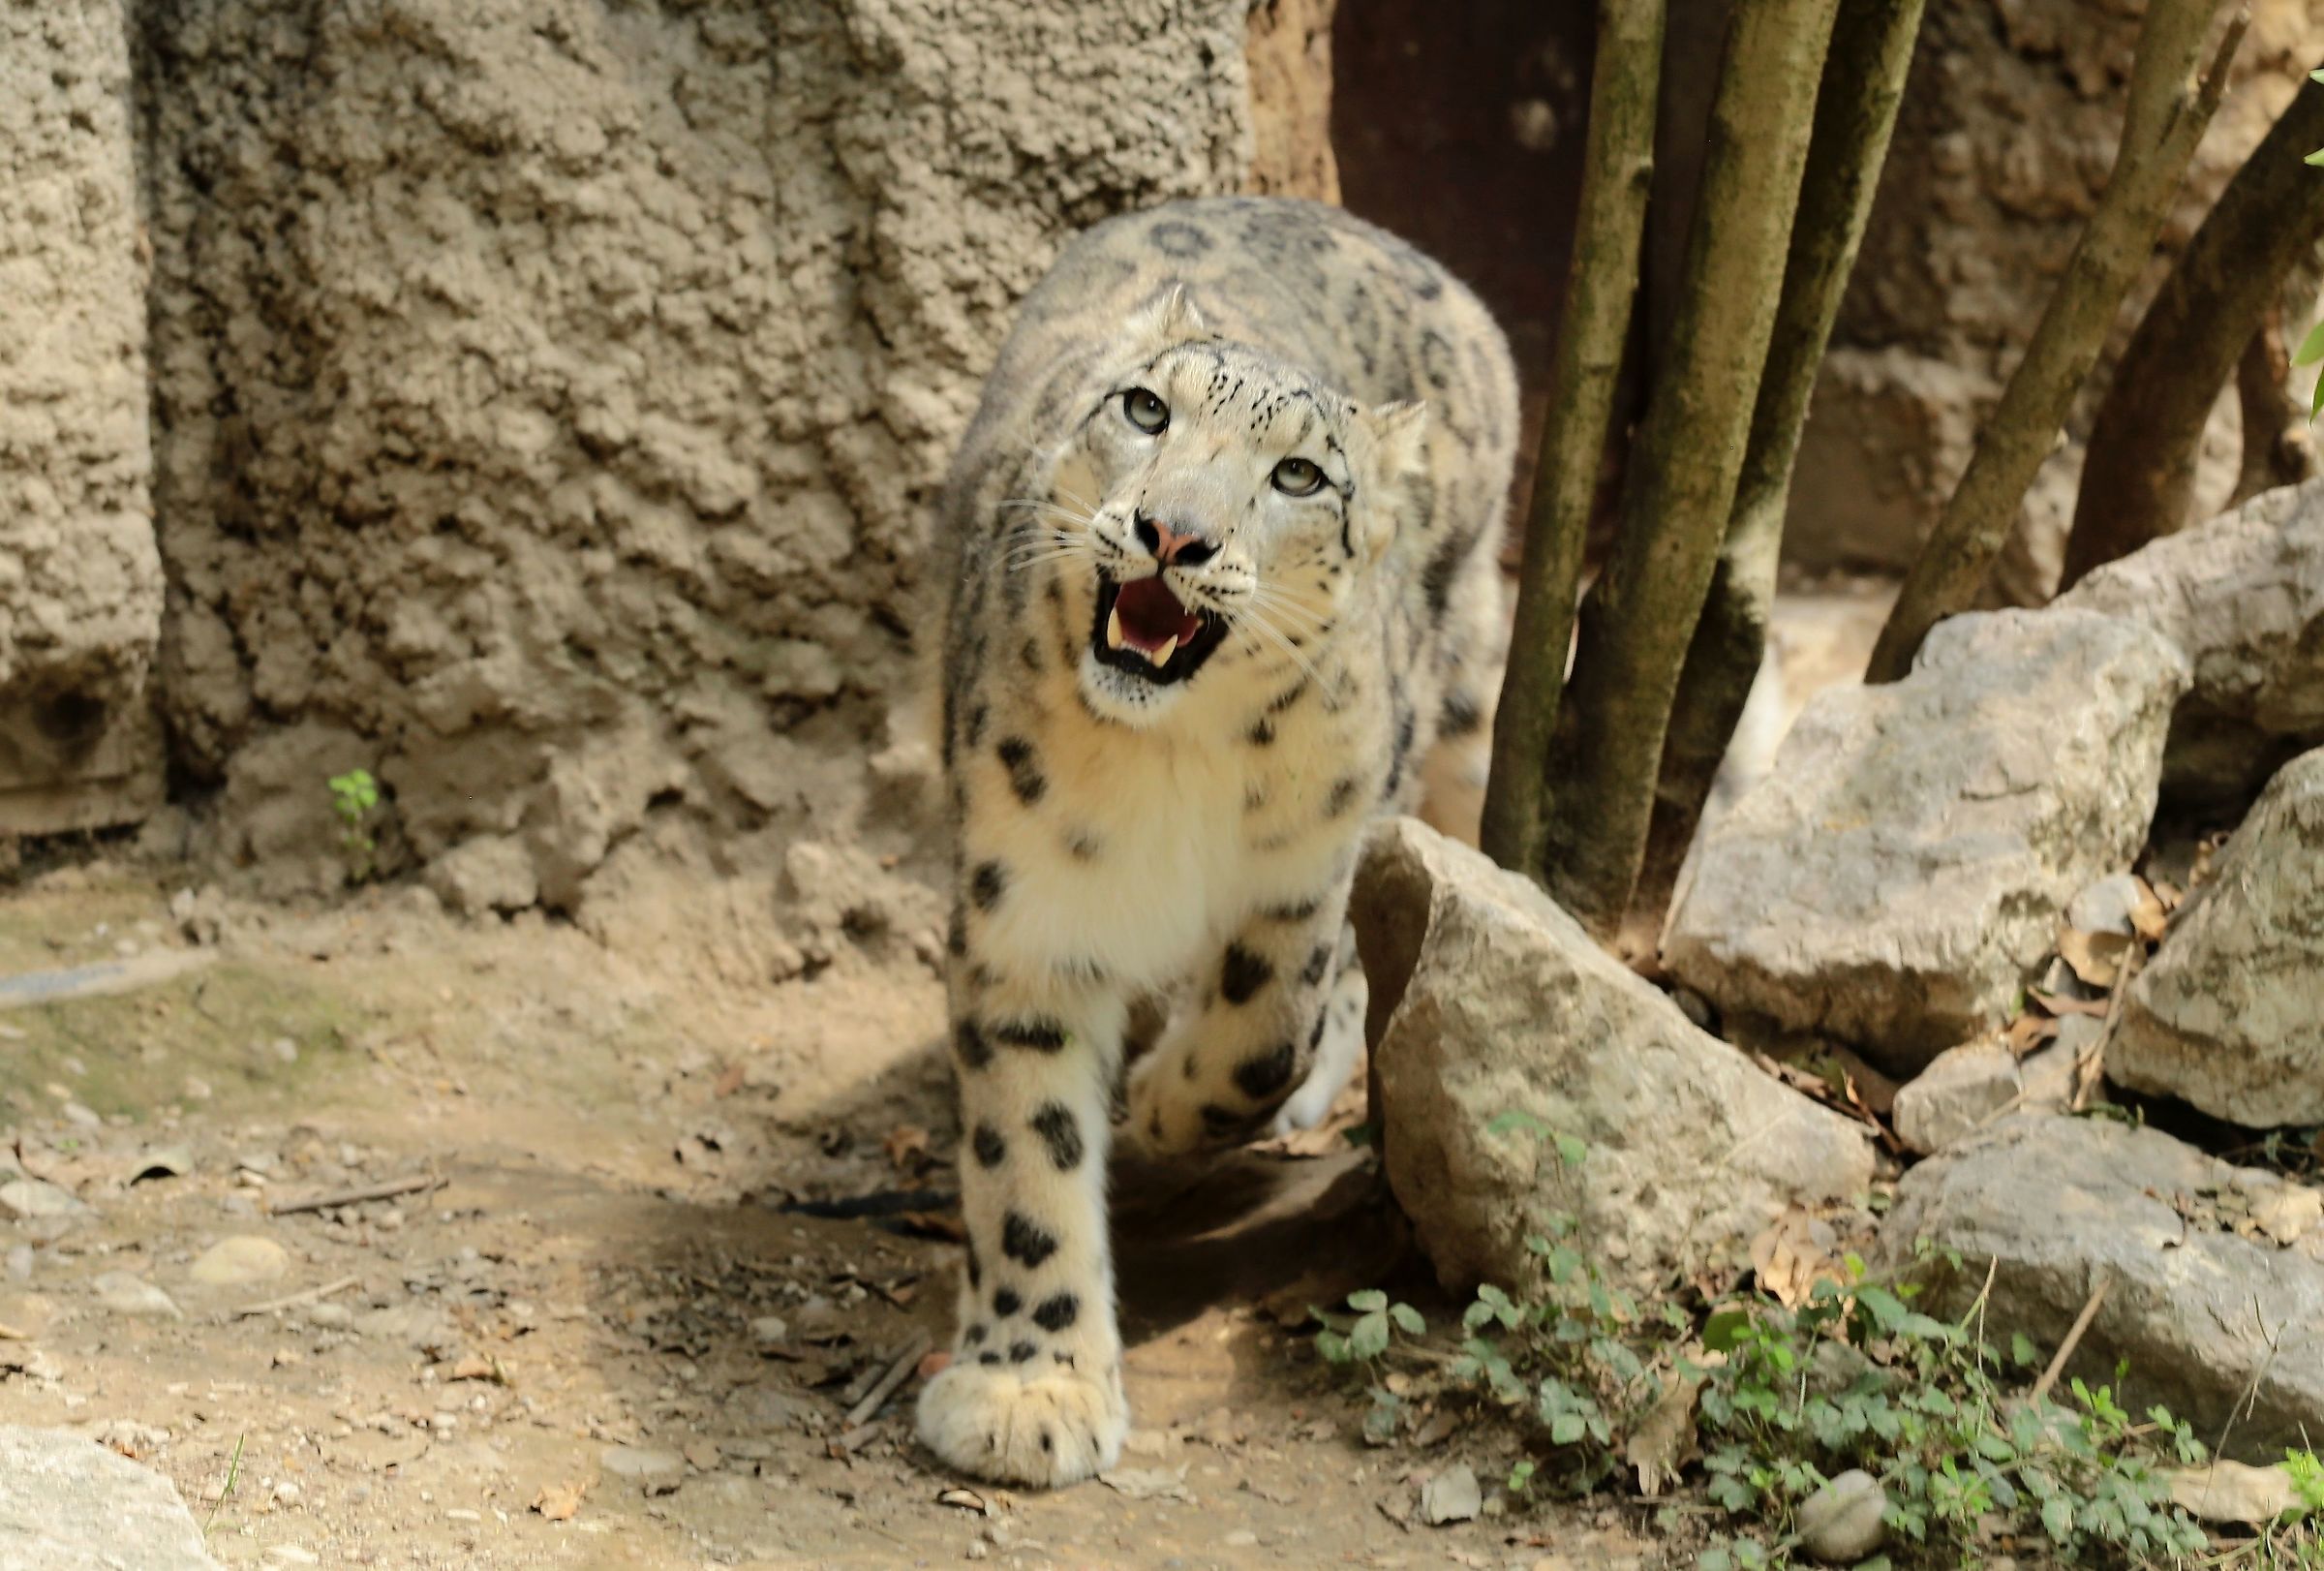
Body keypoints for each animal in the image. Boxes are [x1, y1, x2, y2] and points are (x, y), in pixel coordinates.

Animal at [914, 195, 1519, 1487]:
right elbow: (1025, 1151)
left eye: (1299, 473)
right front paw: (1030, 1388)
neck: (1171, 759)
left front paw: (1160, 1107)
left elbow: (1264, 1030)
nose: (1172, 532)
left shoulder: (1303, 870)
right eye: (1147, 408)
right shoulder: (1024, 906)